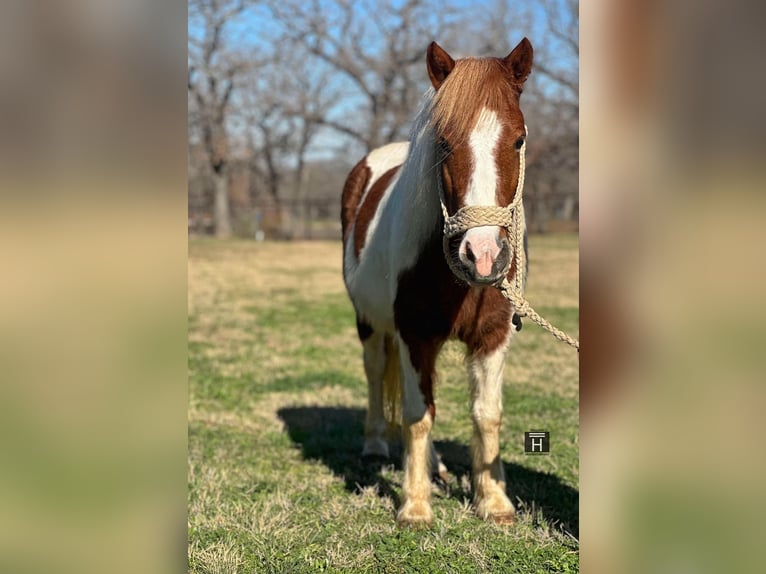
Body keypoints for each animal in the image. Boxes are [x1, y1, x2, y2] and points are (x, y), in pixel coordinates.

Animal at [341, 38, 534, 527]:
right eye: (444, 144)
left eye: (518, 139)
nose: (482, 255)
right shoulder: (414, 336)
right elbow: (417, 416)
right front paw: (414, 504)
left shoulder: (492, 336)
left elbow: (486, 414)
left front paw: (494, 501)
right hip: (369, 322)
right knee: (376, 374)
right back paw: (376, 444)